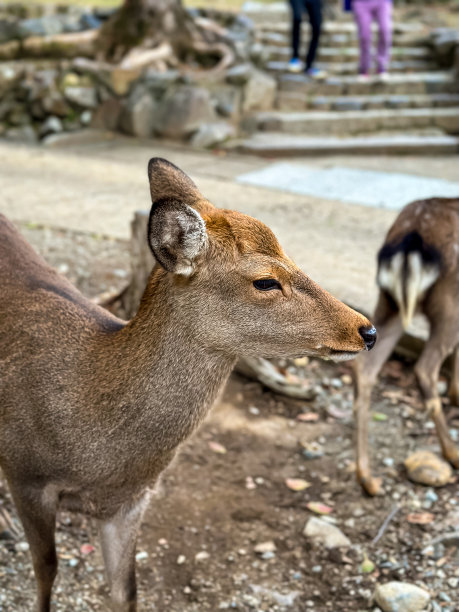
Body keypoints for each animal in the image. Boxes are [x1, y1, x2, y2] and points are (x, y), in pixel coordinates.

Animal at [0, 158, 376, 612]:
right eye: (265, 281)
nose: (367, 330)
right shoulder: (25, 473)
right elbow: (46, 571)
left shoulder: (129, 504)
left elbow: (126, 591)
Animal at [354, 198, 458, 494]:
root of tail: (411, 240)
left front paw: (456, 394)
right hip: (450, 304)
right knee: (425, 368)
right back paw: (452, 453)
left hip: (388, 303)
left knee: (363, 366)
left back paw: (367, 478)